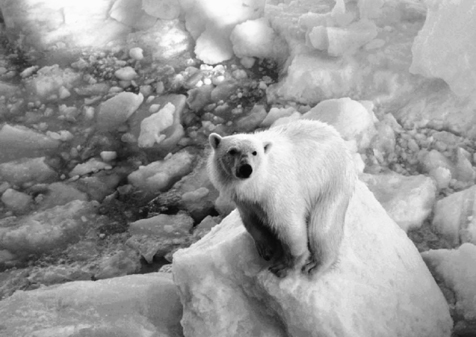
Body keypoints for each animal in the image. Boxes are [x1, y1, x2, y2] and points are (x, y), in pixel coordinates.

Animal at [206, 119, 356, 276]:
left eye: (255, 152)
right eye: (232, 151)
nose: (246, 168)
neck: (257, 186)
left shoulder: (277, 192)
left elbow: (289, 227)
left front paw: (283, 267)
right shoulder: (245, 202)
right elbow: (252, 222)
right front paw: (266, 250)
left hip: (331, 181)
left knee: (321, 227)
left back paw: (315, 265)